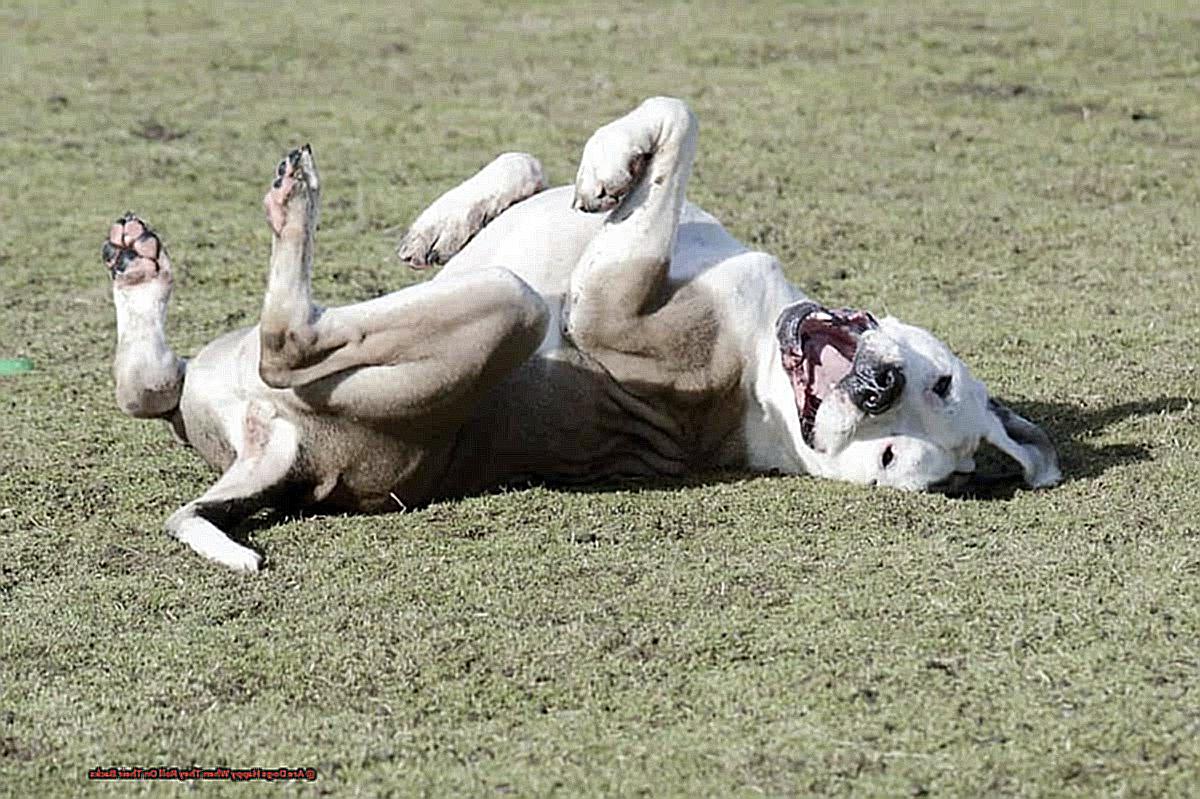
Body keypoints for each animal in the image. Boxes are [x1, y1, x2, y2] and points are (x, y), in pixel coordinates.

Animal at [103, 96, 1060, 568]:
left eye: (891, 457)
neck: (761, 358)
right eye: (938, 385)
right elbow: (542, 160)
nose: (876, 385)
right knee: (148, 386)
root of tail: (287, 454)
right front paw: (455, 217)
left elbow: (676, 121)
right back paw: (140, 271)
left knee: (287, 340)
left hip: (501, 305)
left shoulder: (605, 306)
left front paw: (612, 166)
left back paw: (293, 205)